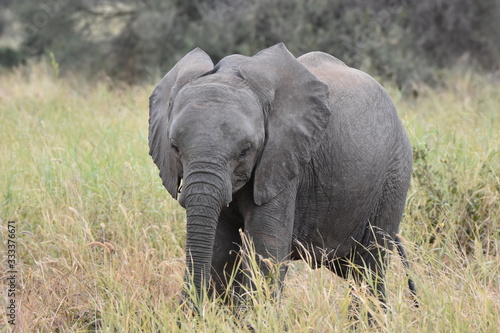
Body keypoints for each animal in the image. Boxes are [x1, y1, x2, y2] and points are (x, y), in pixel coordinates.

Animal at [148, 42, 418, 312]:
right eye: (174, 147)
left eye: (245, 150)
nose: (183, 311)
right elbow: (219, 248)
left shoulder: (283, 161)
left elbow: (267, 252)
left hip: (394, 176)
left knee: (370, 268)